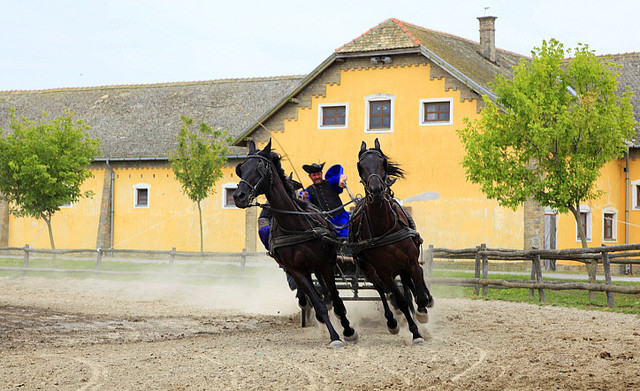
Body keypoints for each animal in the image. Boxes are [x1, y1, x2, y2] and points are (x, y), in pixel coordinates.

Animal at [232, 140, 358, 350]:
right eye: (241, 168)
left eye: (260, 166)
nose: (238, 196)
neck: (294, 225)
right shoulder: (297, 270)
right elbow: (319, 304)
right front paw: (334, 336)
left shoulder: (325, 264)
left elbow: (337, 299)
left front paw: (348, 330)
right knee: (317, 295)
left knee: (330, 294)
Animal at [350, 139, 436, 346]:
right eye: (360, 166)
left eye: (383, 162)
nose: (376, 190)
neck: (384, 227)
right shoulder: (384, 272)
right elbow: (401, 300)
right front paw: (415, 333)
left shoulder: (411, 262)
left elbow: (419, 294)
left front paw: (422, 312)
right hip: (369, 270)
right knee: (383, 291)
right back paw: (392, 321)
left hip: (403, 265)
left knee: (412, 286)